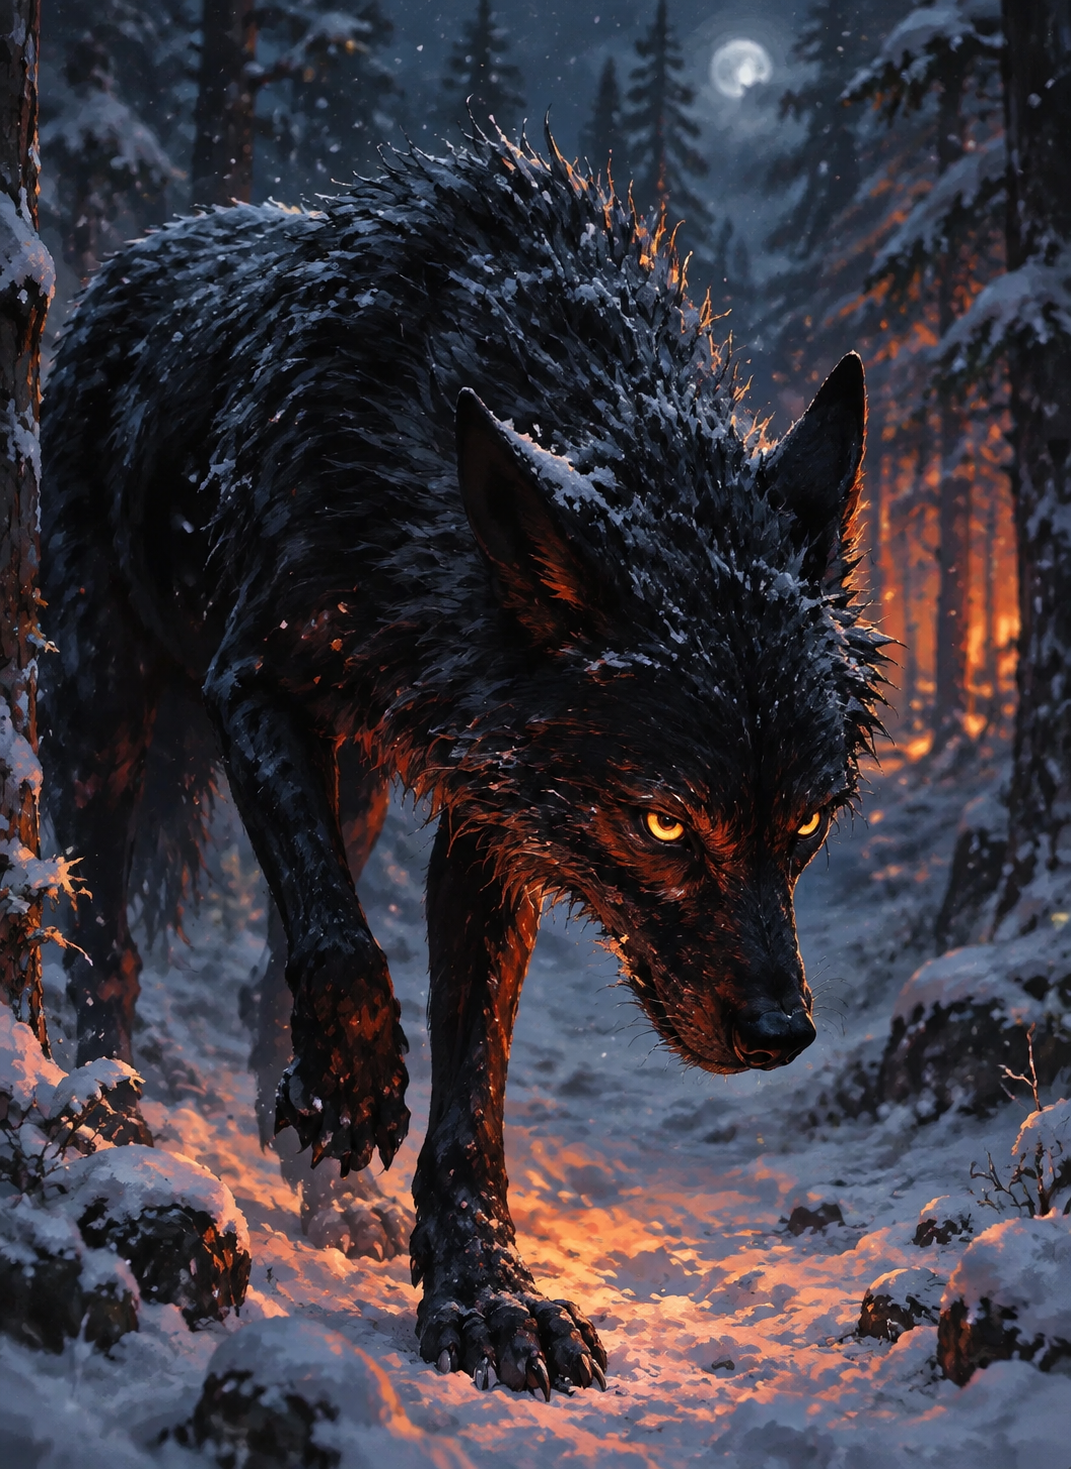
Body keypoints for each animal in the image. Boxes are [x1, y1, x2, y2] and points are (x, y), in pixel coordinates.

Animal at [41, 129, 884, 1397]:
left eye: (805, 826)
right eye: (665, 823)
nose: (780, 1033)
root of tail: (139, 251)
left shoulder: (495, 810)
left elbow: (471, 1074)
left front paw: (485, 1291)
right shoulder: (256, 683)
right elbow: (345, 950)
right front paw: (356, 1085)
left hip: (356, 781)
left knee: (271, 958)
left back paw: (327, 1190)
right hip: (103, 708)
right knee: (110, 934)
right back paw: (114, 1114)